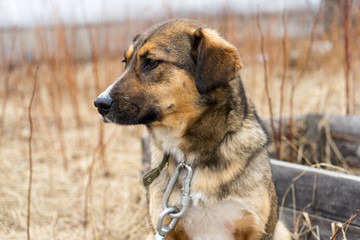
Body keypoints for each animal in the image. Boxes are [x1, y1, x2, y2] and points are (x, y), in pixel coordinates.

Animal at [94, 18, 292, 240]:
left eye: (152, 62)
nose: (99, 103)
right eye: (125, 62)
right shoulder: (166, 226)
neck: (190, 160)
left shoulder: (256, 230)